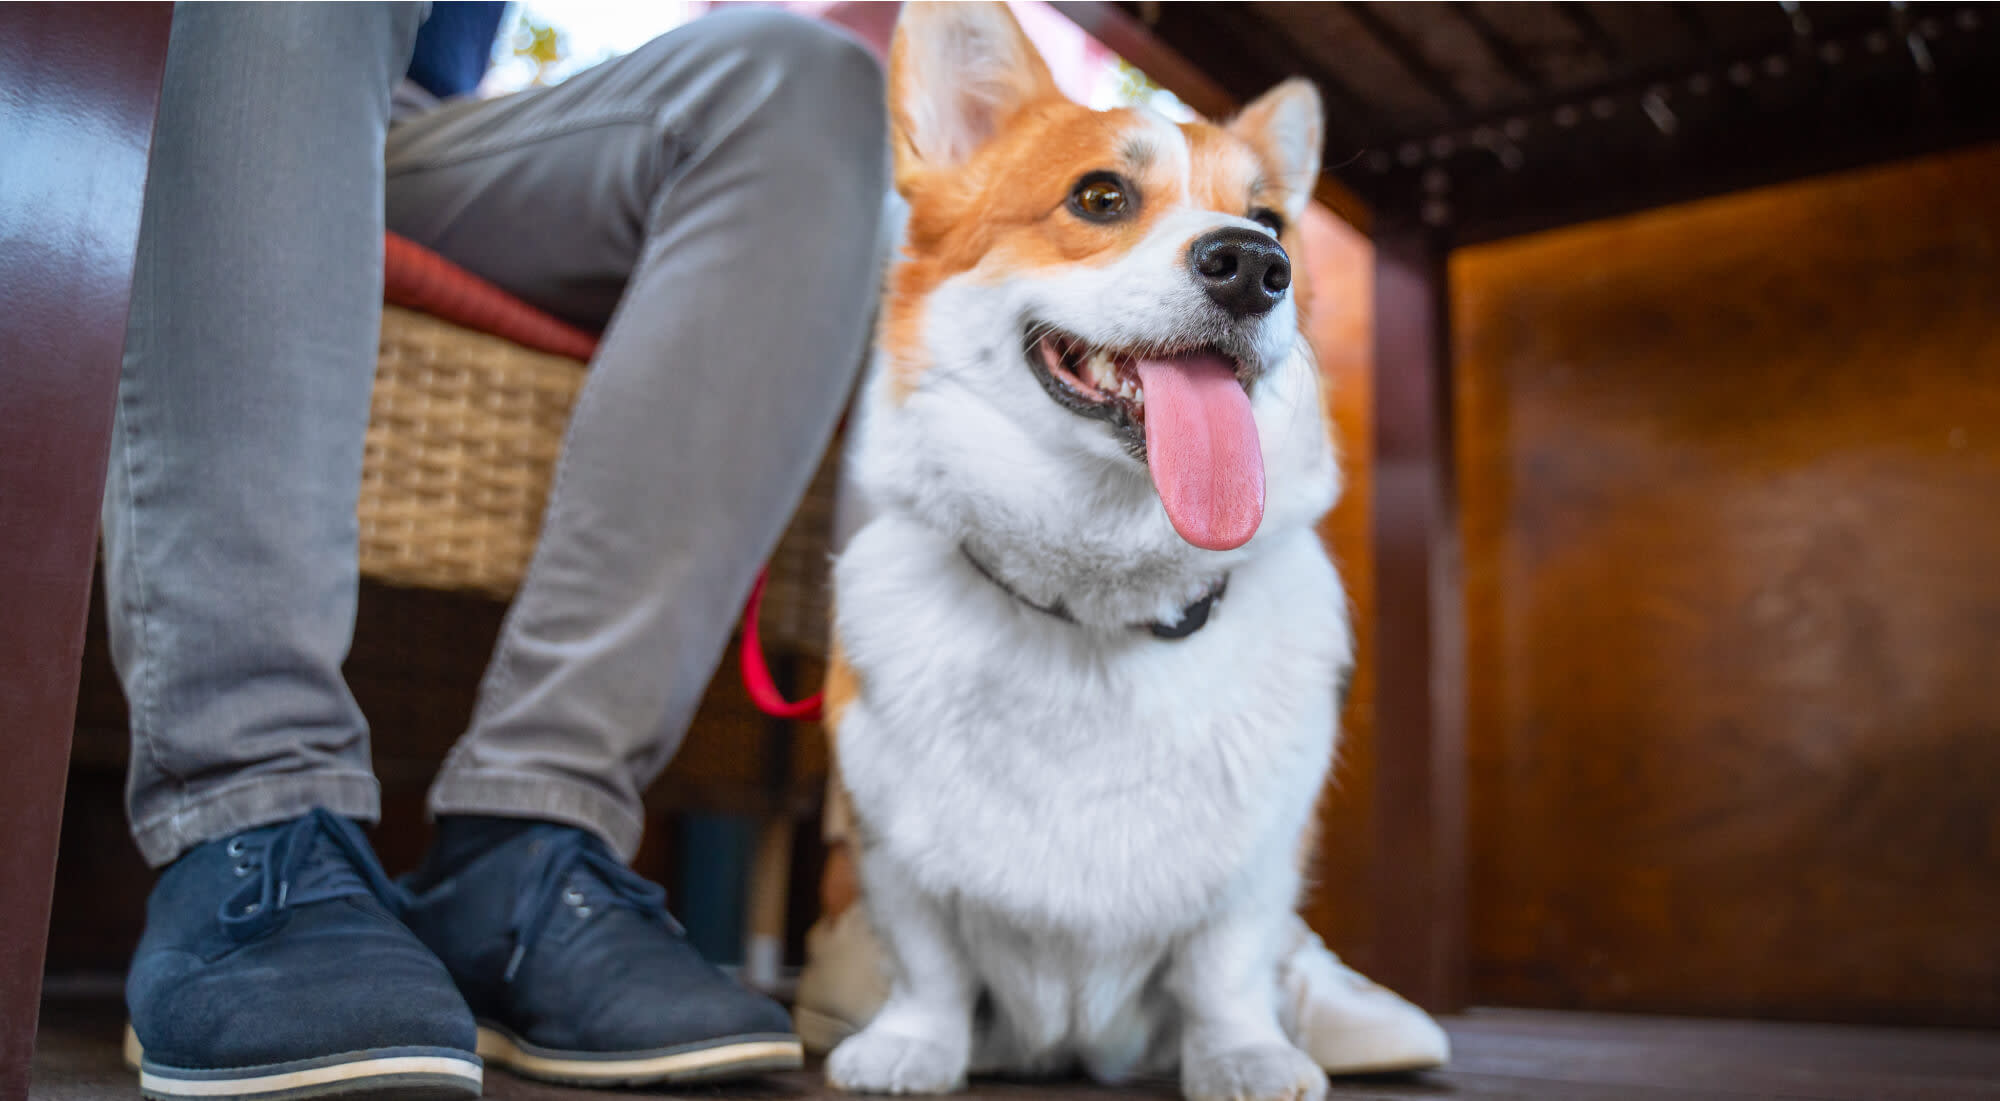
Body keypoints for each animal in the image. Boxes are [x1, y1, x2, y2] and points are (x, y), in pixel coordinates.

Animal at [820, 4, 1352, 1096]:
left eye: (1273, 222)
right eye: (1100, 197)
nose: (1254, 266)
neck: (1100, 610)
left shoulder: (1258, 861)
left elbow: (1227, 964)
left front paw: (1243, 1054)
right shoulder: (889, 841)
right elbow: (928, 961)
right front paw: (913, 1045)